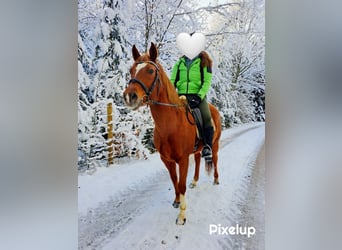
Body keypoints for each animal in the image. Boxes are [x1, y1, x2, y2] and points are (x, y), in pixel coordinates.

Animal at [123, 43, 222, 225]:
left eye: (150, 70)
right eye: (131, 70)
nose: (129, 96)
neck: (170, 126)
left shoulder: (182, 160)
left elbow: (181, 184)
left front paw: (182, 216)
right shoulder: (167, 160)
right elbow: (174, 180)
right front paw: (177, 201)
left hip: (215, 144)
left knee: (216, 159)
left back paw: (216, 179)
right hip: (197, 149)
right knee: (198, 159)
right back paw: (195, 181)